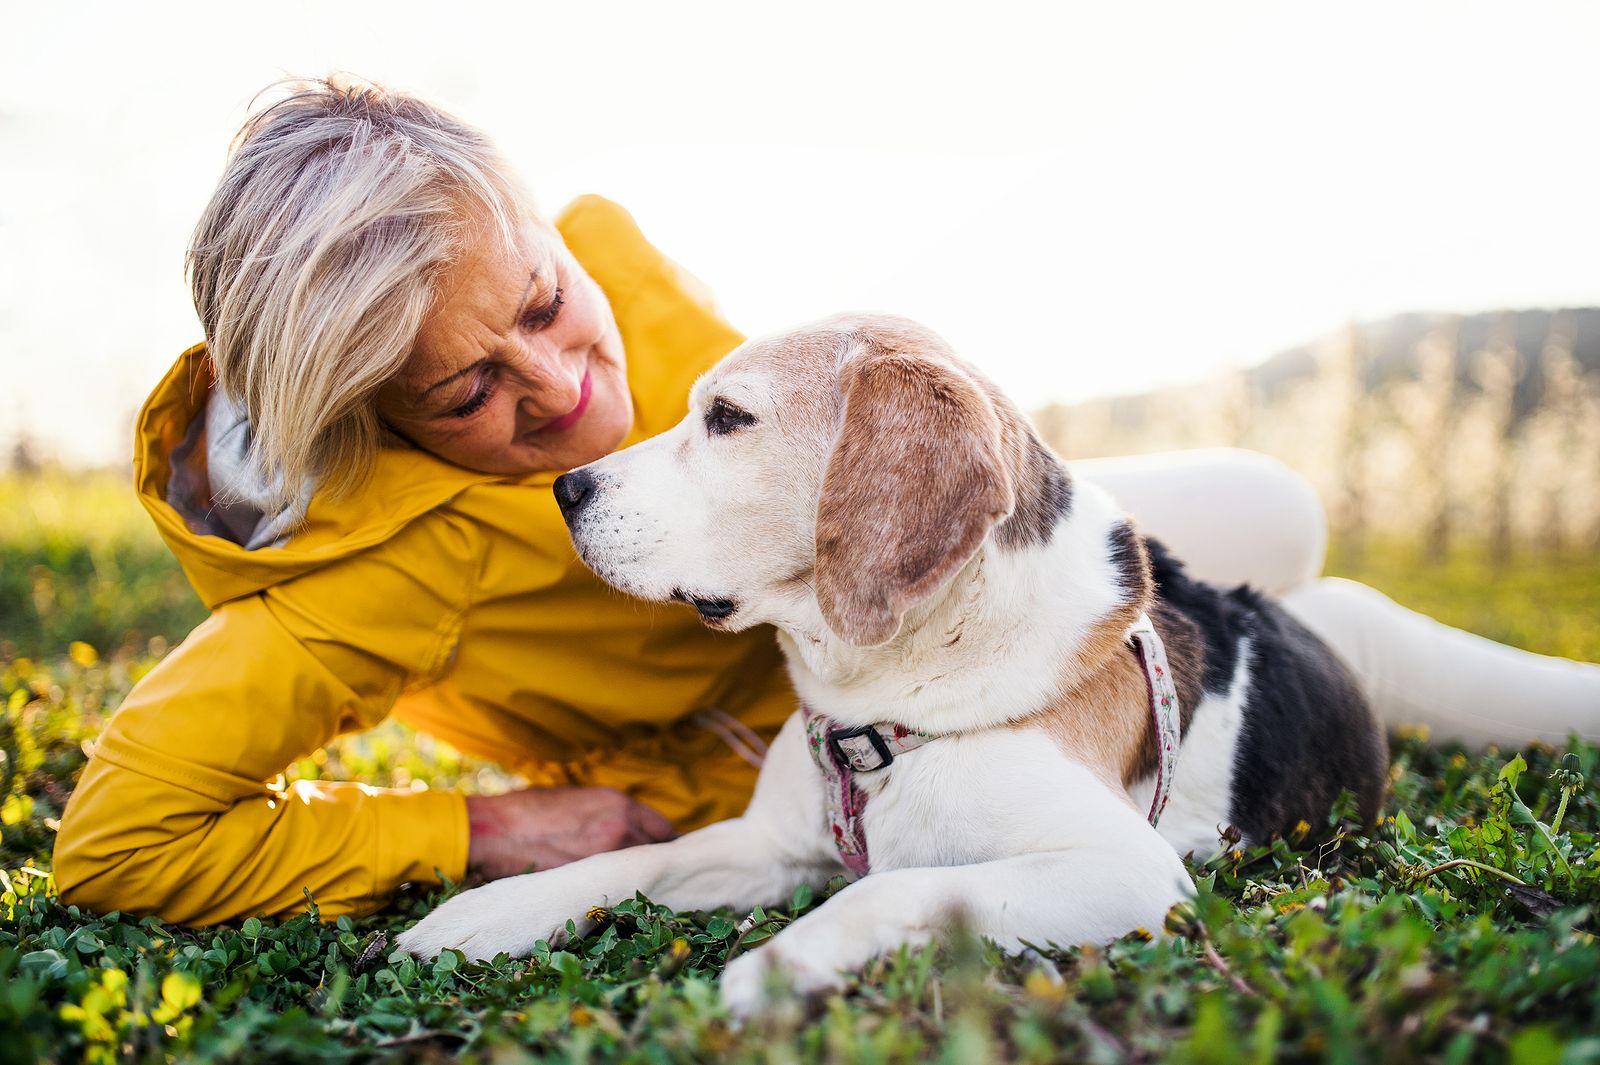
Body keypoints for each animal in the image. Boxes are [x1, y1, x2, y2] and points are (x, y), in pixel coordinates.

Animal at [396, 311, 1388, 1010]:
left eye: (727, 417)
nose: (567, 488)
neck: (890, 702)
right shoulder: (765, 845)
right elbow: (638, 859)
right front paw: (482, 912)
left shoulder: (1126, 870)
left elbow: (896, 887)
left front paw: (782, 966)